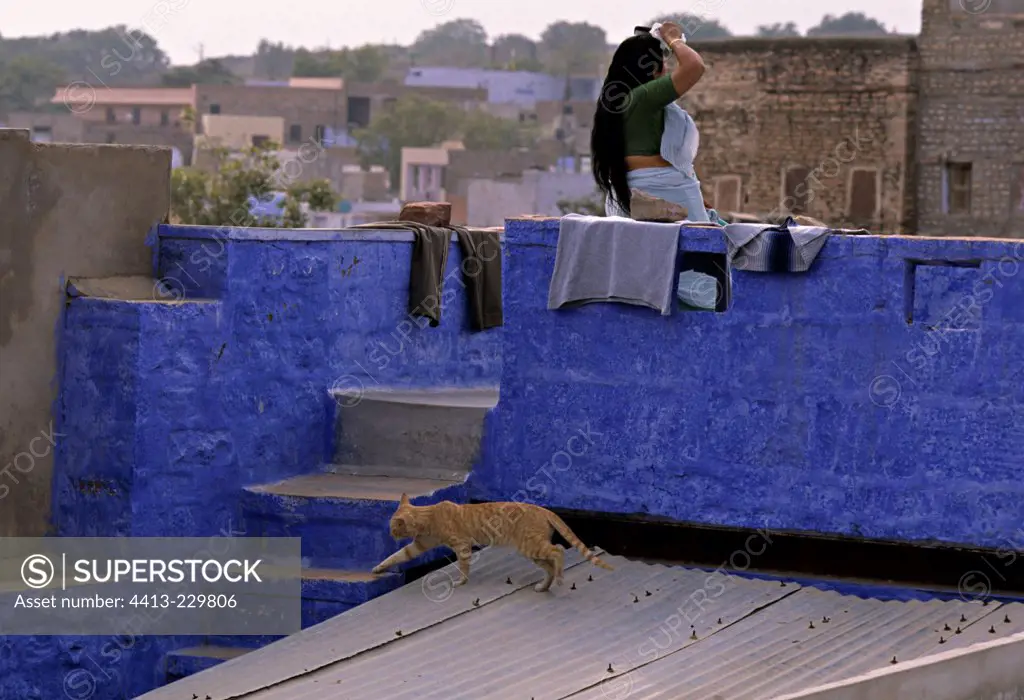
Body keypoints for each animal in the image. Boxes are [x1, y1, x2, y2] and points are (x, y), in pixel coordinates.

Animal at [372, 495, 610, 593]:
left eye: (392, 527)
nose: (390, 534)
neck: (428, 515)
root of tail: (543, 509)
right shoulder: (419, 545)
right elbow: (397, 556)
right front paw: (378, 568)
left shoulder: (462, 545)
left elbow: (464, 566)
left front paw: (461, 582)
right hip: (532, 551)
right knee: (551, 564)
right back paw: (544, 586)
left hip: (531, 546)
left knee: (559, 550)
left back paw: (560, 578)